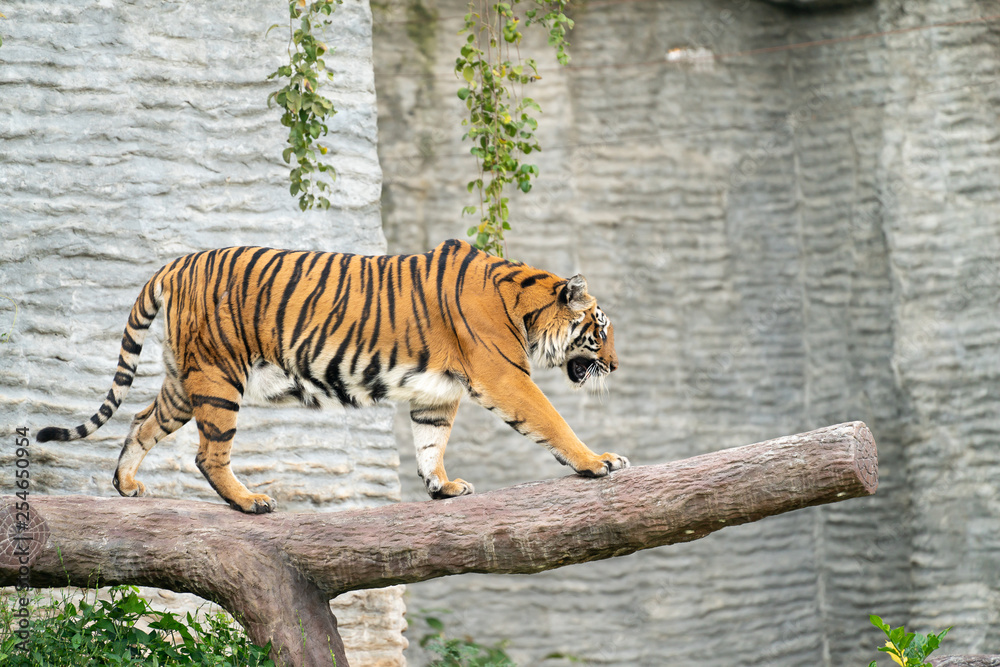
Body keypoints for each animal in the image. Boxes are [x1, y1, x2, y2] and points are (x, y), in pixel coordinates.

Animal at [41, 237, 632, 516]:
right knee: (208, 454)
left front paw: (441, 486)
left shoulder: (436, 393)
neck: (525, 306)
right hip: (217, 379)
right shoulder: (506, 378)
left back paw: (127, 484)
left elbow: (430, 443)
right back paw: (250, 501)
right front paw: (597, 461)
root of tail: (174, 264)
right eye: (600, 330)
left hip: (184, 382)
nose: (617, 365)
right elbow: (552, 422)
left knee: (141, 421)